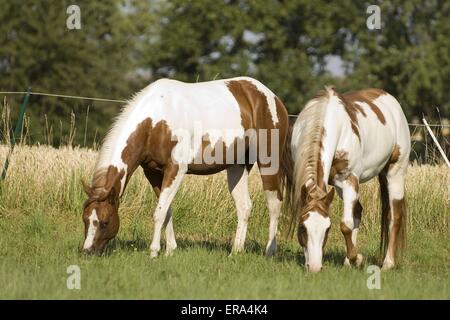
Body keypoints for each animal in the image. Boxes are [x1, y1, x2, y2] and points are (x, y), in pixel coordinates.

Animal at [80, 76, 292, 258]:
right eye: (85, 219)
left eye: (104, 222)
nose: (87, 252)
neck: (156, 121)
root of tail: (271, 97)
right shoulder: (153, 172)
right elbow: (166, 210)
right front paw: (170, 250)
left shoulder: (176, 169)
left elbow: (159, 212)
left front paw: (154, 252)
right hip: (237, 167)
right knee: (244, 207)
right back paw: (235, 252)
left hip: (268, 163)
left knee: (274, 203)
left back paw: (269, 252)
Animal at [286, 87, 410, 272]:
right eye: (302, 227)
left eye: (327, 228)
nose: (314, 267)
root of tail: (391, 100)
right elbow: (350, 221)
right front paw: (353, 259)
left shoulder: (350, 180)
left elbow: (345, 225)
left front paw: (357, 258)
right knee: (357, 211)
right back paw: (347, 261)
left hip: (395, 174)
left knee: (394, 218)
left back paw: (388, 263)